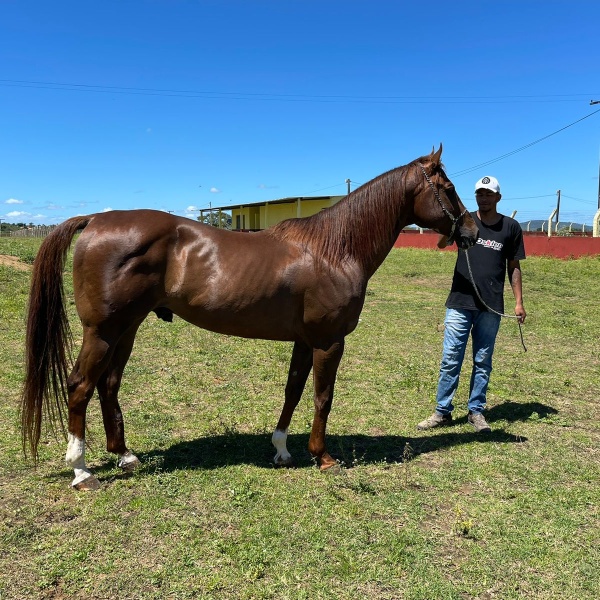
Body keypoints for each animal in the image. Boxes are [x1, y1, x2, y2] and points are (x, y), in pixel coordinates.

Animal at [21, 145, 476, 488]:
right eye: (449, 188)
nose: (471, 231)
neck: (334, 249)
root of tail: (95, 219)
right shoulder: (329, 341)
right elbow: (323, 397)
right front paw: (323, 457)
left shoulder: (304, 341)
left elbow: (293, 391)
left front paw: (282, 449)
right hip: (102, 331)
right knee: (80, 386)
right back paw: (82, 472)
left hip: (126, 329)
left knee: (108, 384)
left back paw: (125, 456)